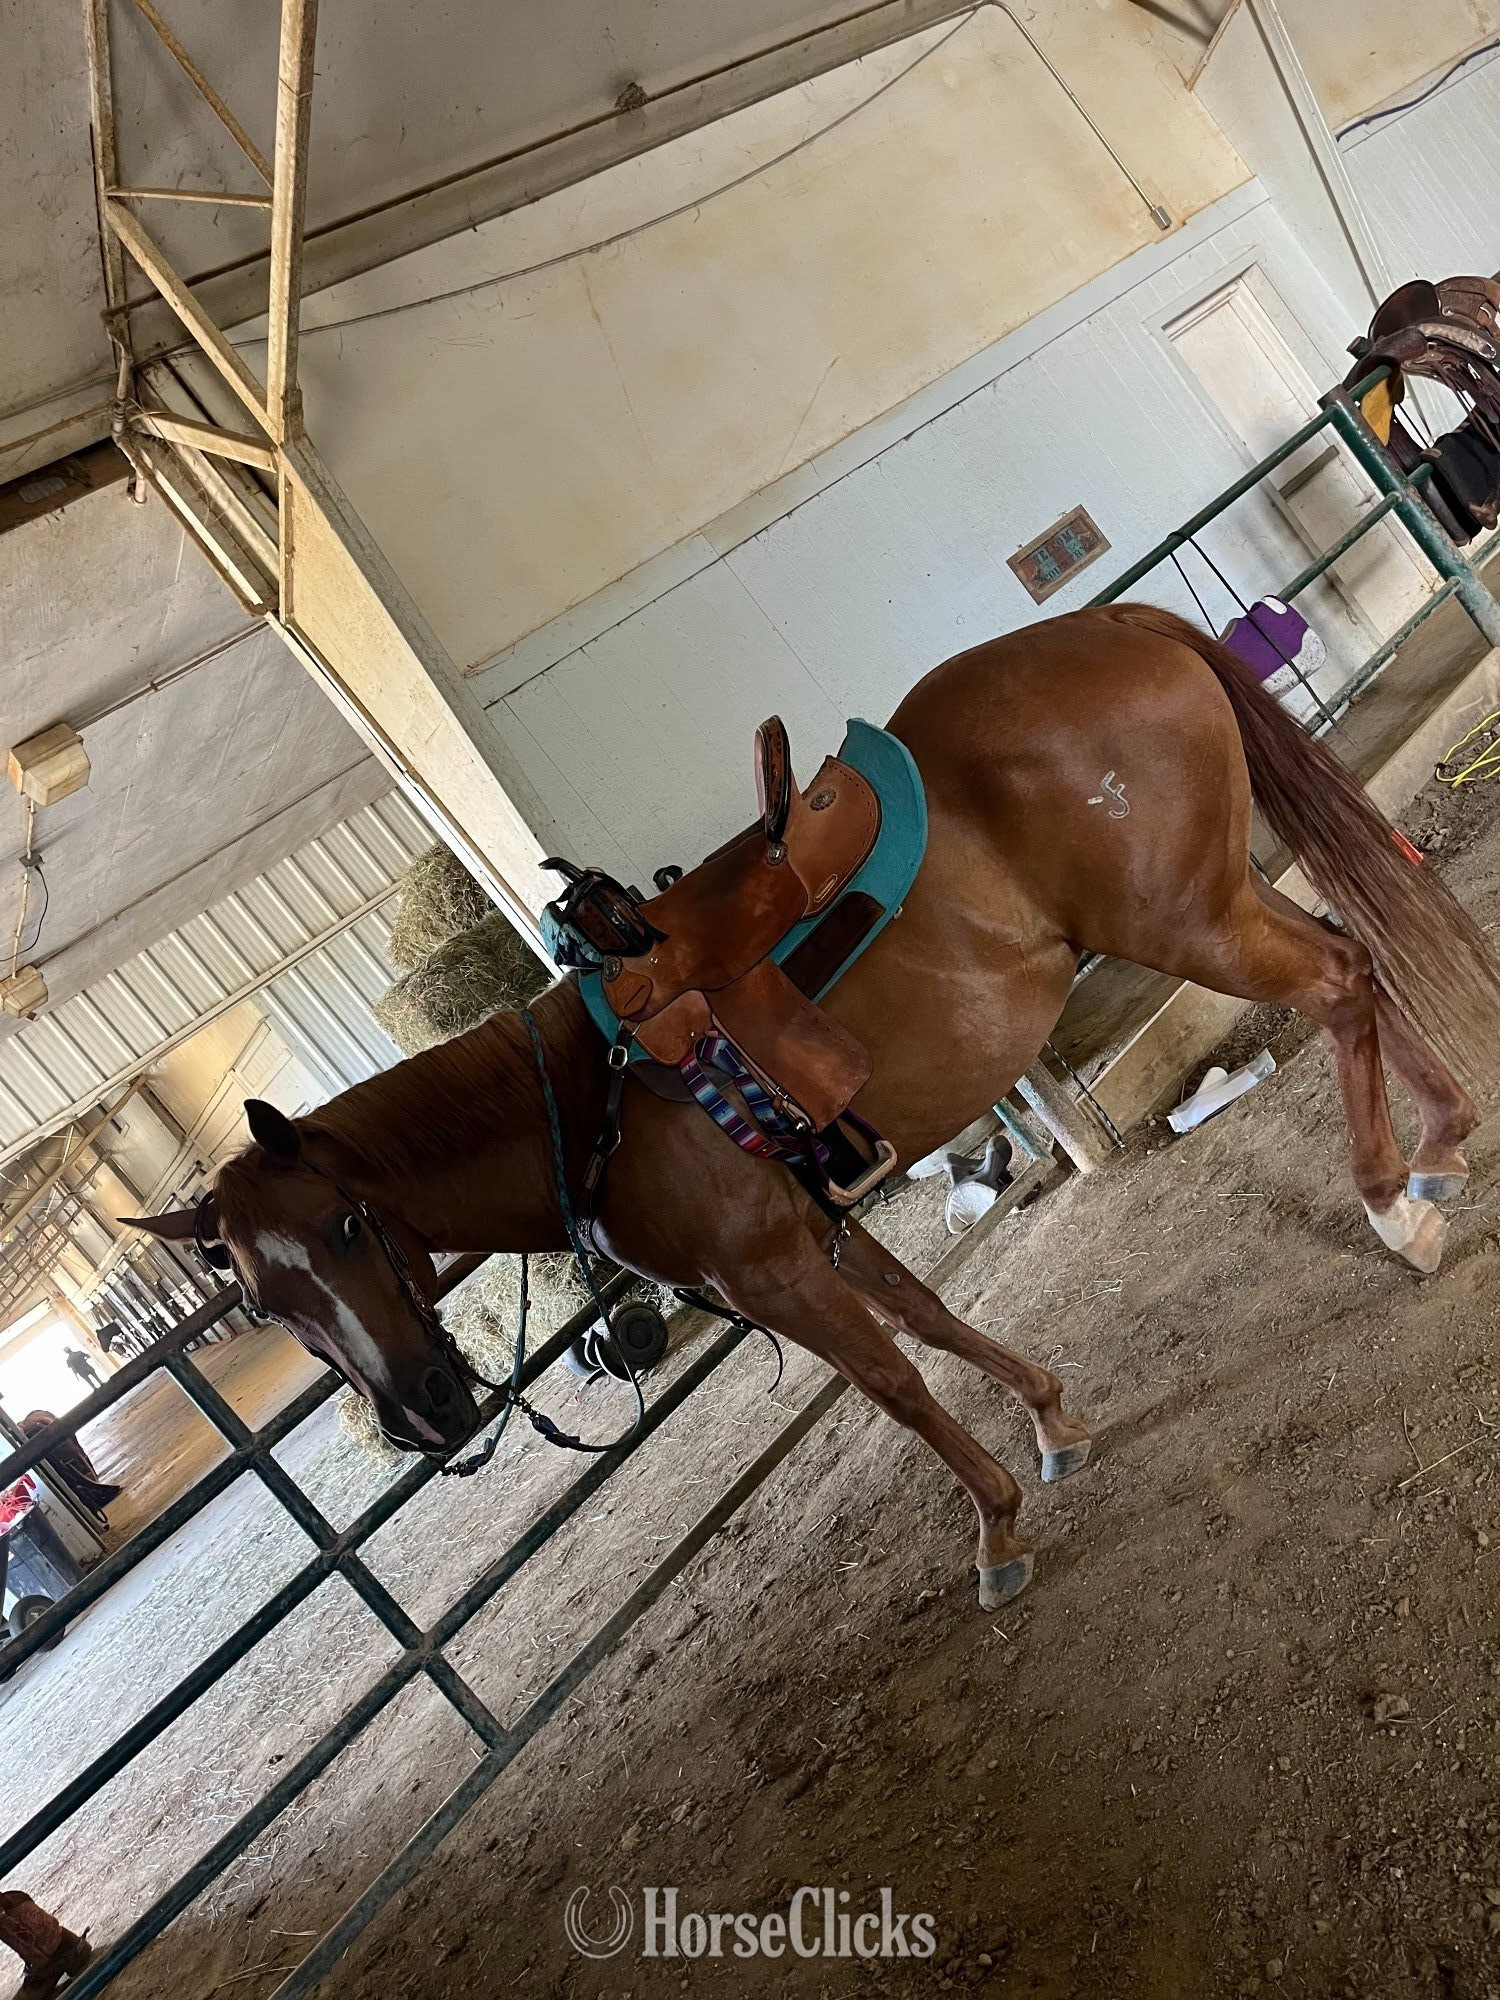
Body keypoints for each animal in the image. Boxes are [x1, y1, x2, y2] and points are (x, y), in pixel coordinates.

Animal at [130, 604, 1499, 1610]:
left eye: (349, 1224)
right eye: (264, 1302)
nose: (424, 1407)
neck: (585, 1100)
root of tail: (1112, 620)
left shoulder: (773, 1270)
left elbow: (894, 1382)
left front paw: (996, 1530)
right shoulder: (818, 1225)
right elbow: (934, 1320)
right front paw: (1052, 1420)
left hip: (1187, 920)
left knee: (1336, 986)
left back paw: (1395, 1212)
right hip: (1219, 898)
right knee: (1357, 959)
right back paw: (1439, 1147)